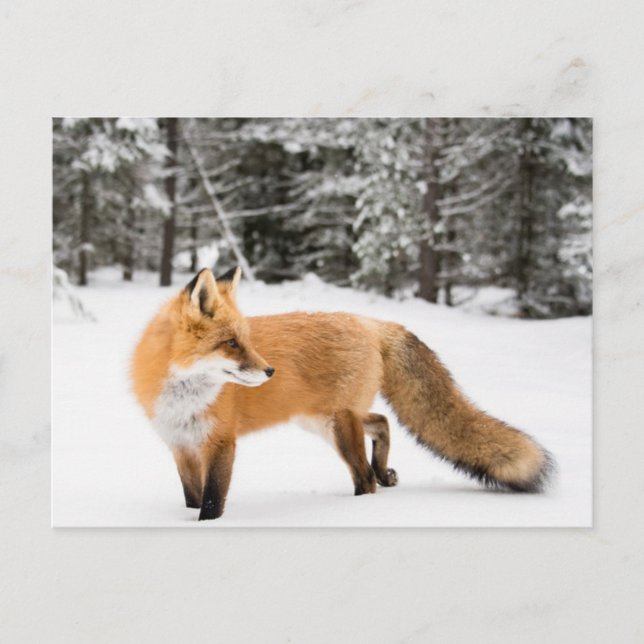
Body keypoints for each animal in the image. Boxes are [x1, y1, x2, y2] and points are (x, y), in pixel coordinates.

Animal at [131, 266, 553, 521]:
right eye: (232, 343)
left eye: (246, 341)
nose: (270, 371)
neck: (183, 397)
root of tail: (370, 322)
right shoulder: (181, 446)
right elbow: (191, 496)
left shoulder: (220, 443)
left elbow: (212, 501)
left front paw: (207, 526)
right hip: (323, 420)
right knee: (381, 422)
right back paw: (385, 472)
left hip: (337, 426)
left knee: (364, 477)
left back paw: (358, 504)